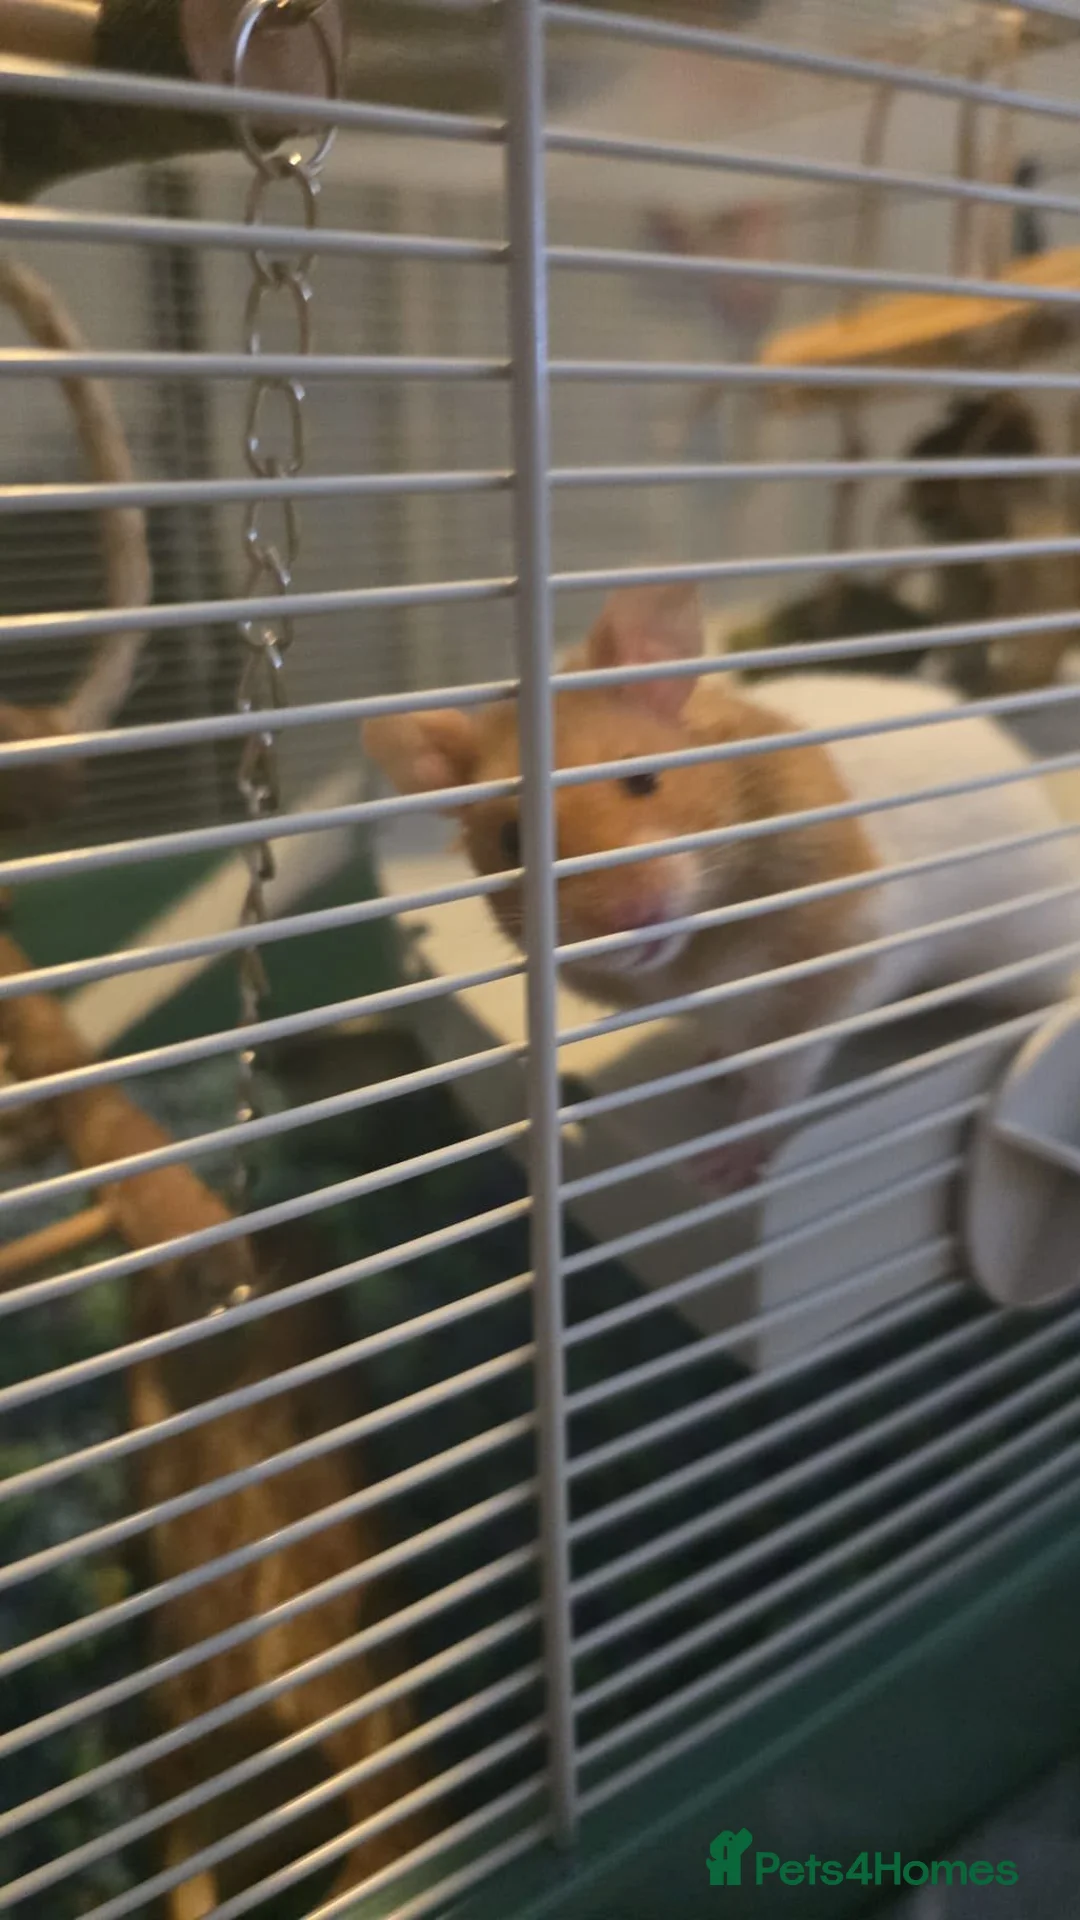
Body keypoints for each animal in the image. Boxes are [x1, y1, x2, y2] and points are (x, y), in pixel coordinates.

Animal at [364, 584, 1079, 1190]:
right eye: (512, 841)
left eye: (645, 779)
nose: (631, 915)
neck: (704, 955)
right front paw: (711, 1068)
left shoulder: (838, 968)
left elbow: (777, 1086)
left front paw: (720, 1168)